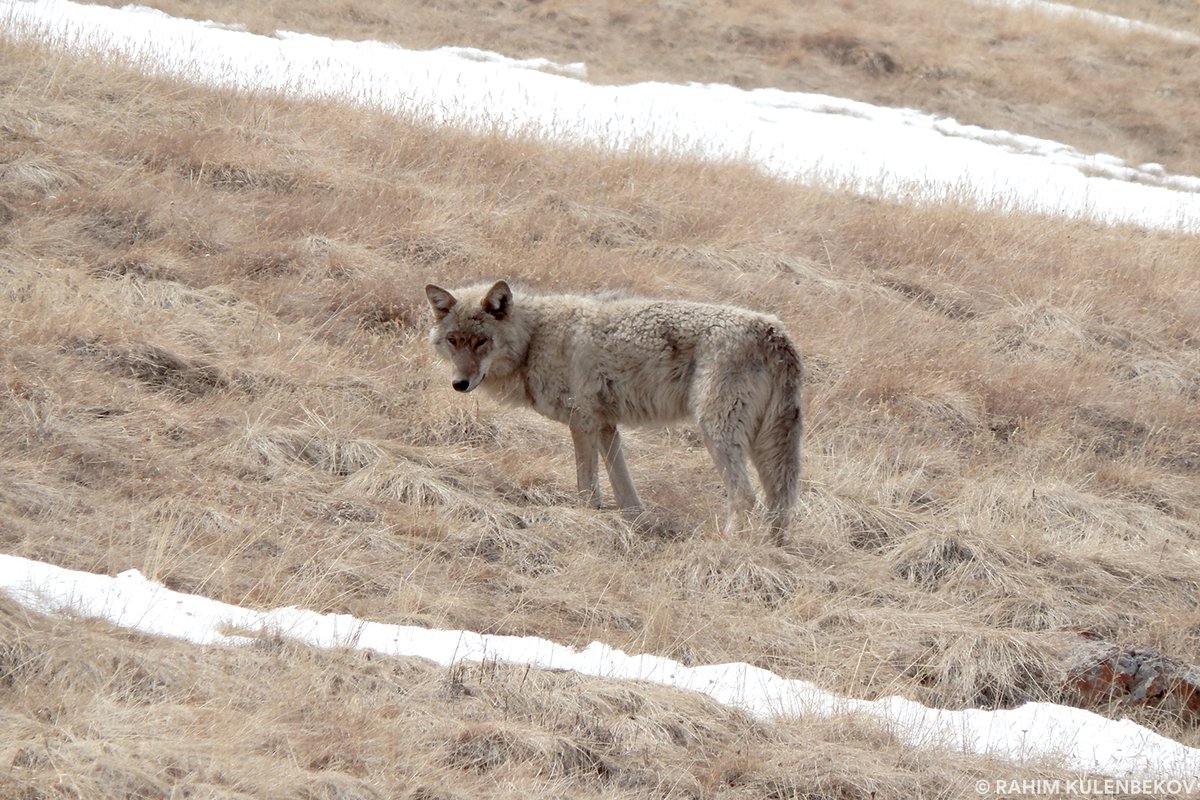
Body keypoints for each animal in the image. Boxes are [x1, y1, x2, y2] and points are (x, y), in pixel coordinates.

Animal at [424, 281, 806, 544]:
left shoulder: (582, 422)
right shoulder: (607, 427)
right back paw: (770, 550)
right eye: (453, 341)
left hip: (717, 433)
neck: (535, 339)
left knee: (745, 496)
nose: (459, 383)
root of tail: (776, 332)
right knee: (780, 502)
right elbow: (627, 496)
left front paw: (586, 521)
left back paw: (728, 545)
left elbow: (587, 489)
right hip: (766, 446)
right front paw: (635, 528)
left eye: (481, 342)